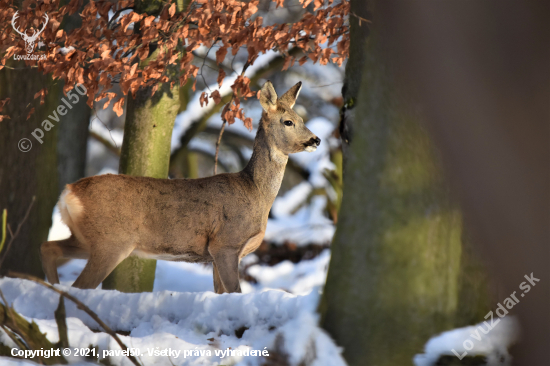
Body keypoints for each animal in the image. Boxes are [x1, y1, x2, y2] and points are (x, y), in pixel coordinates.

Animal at [41, 81, 322, 294]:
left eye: (302, 118)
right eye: (288, 122)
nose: (316, 139)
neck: (256, 194)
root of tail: (68, 192)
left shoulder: (220, 254)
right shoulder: (225, 244)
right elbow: (235, 292)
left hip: (86, 239)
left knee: (49, 247)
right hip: (110, 241)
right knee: (78, 284)